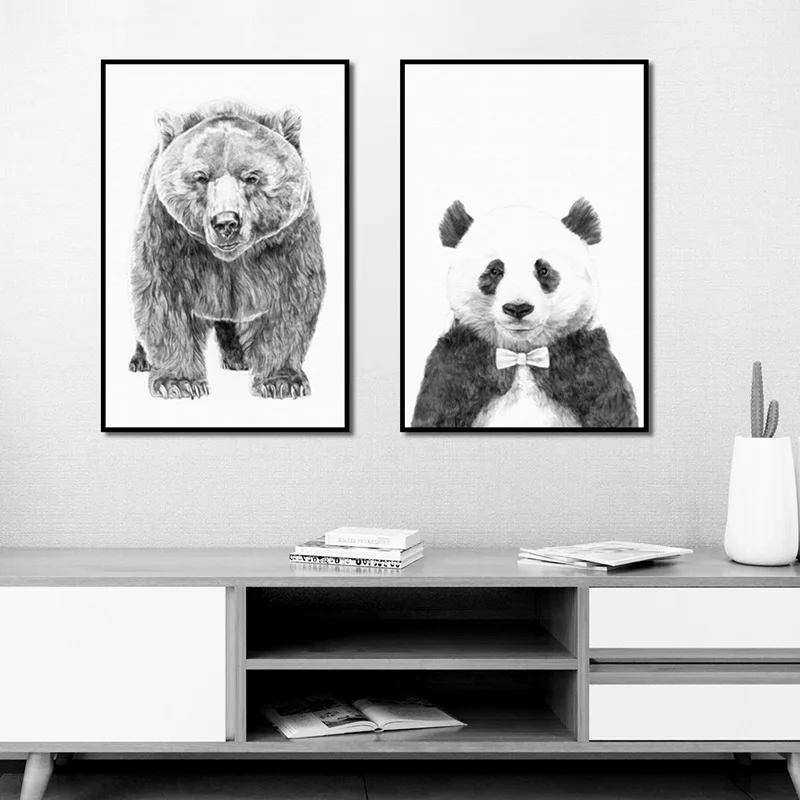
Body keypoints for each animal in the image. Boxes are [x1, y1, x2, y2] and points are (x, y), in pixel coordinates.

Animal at [128, 99, 325, 400]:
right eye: (200, 177)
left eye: (252, 177)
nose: (226, 222)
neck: (229, 257)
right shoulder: (169, 235)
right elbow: (162, 297)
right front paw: (179, 382)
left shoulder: (288, 240)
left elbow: (291, 298)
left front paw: (282, 381)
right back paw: (140, 360)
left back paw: (239, 357)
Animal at [411, 199, 638, 428]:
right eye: (495, 270)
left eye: (544, 270)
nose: (518, 308)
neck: (522, 354)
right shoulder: (458, 362)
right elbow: (437, 410)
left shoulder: (585, 360)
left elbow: (611, 408)